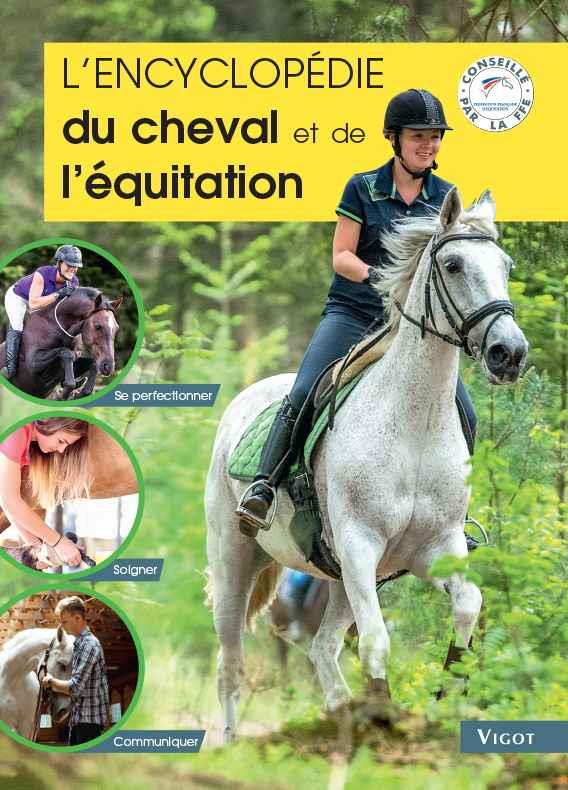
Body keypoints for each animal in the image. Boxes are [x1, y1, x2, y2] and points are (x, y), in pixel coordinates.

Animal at [205, 188, 528, 741]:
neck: (414, 424)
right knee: (231, 662)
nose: (510, 352)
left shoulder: (432, 549)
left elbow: (468, 604)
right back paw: (232, 740)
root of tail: (244, 400)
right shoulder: (360, 543)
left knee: (322, 649)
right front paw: (383, 716)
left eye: (505, 266)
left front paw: (446, 696)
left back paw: (338, 714)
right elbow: (377, 641)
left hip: (339, 578)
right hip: (235, 558)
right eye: (453, 264)